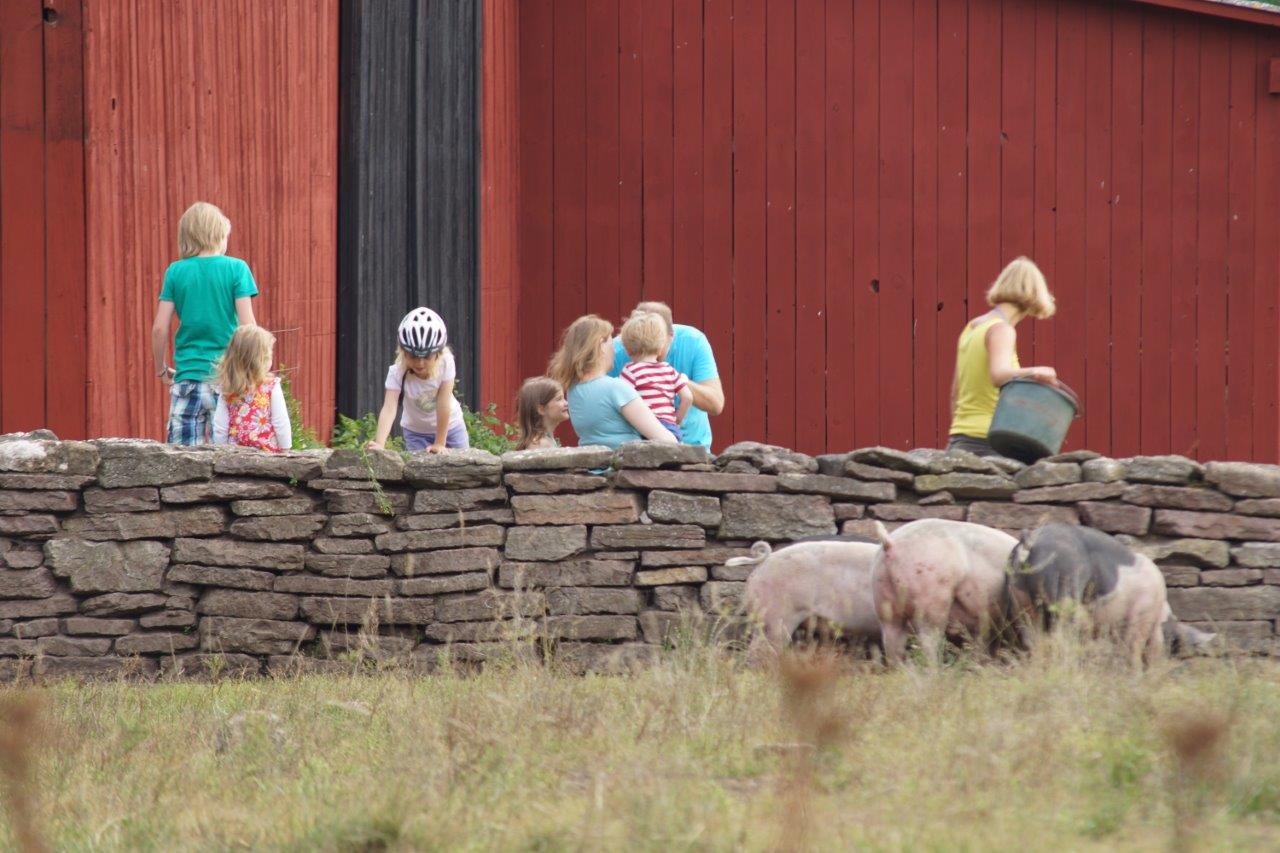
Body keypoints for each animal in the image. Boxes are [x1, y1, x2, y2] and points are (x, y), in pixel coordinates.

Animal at [871, 518, 1019, 665]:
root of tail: (891, 544)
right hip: (932, 595)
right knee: (928, 642)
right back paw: (936, 669)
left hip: (884, 600)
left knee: (893, 644)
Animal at [1006, 523, 1169, 665]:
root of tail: (1031, 541)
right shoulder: (1141, 615)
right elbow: (1132, 650)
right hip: (1064, 591)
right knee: (1060, 637)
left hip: (1019, 600)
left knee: (1032, 639)